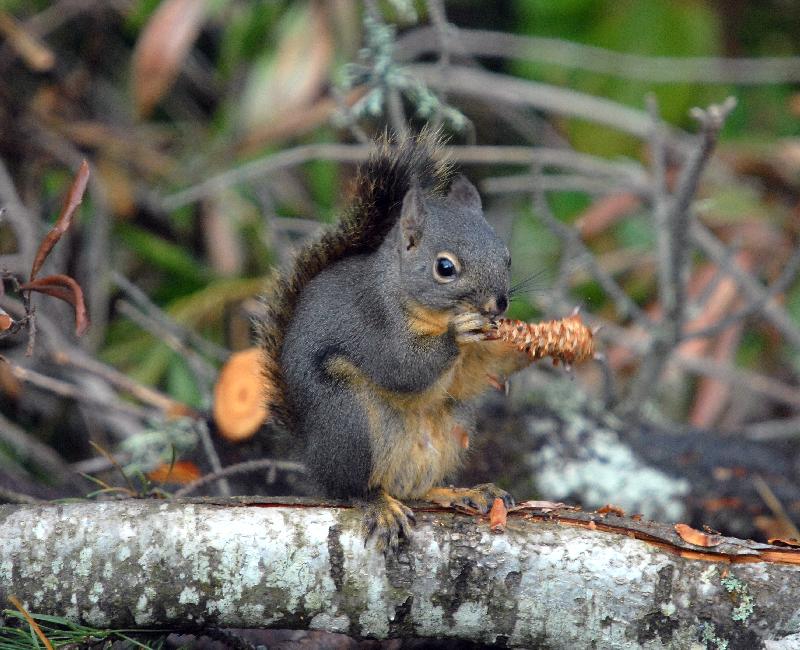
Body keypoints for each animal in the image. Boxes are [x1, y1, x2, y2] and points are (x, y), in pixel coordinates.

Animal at [258, 131, 530, 550]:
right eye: (445, 267)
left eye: (508, 257)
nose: (497, 304)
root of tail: (311, 454)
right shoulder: (373, 325)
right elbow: (400, 367)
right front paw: (459, 333)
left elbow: (466, 377)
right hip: (348, 421)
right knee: (351, 489)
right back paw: (378, 504)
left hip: (451, 432)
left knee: (417, 488)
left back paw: (464, 492)